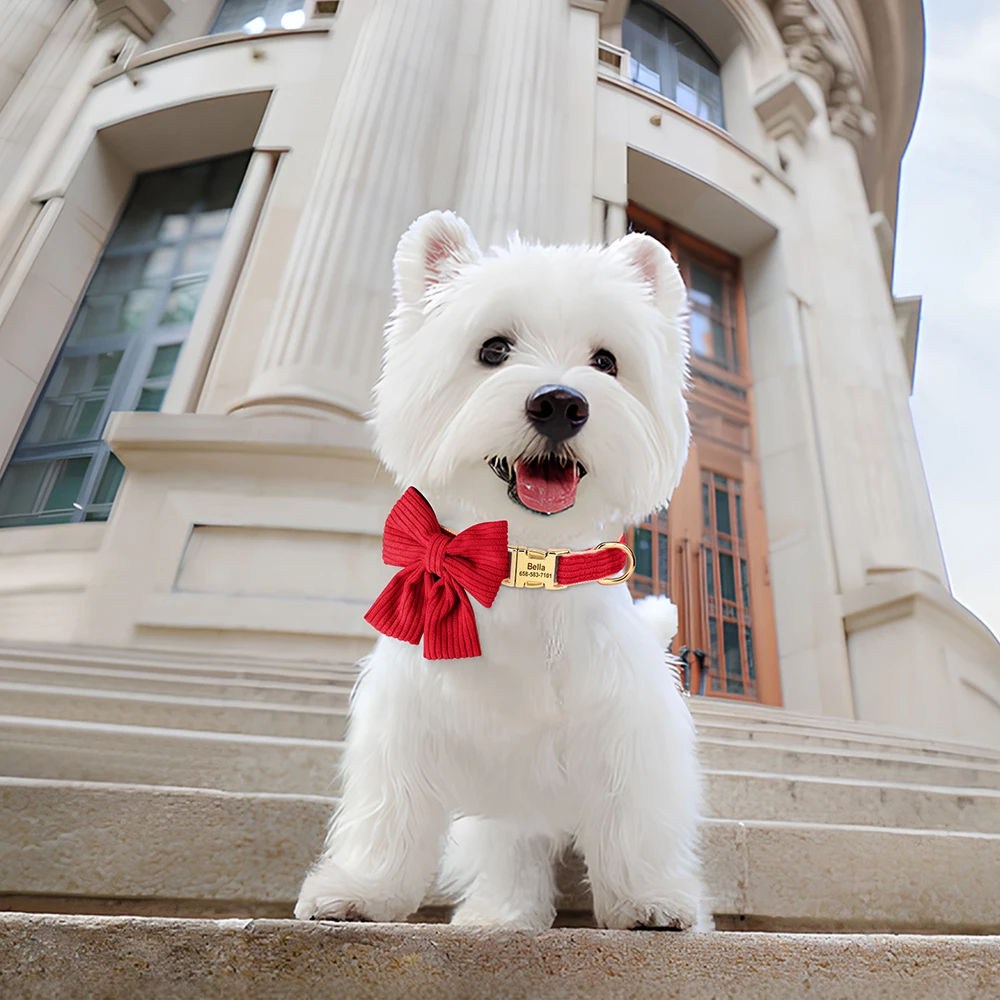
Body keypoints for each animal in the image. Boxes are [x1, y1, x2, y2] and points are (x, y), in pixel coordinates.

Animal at [296, 209, 704, 928]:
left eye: (607, 361)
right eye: (492, 349)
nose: (561, 403)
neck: (519, 565)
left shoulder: (630, 731)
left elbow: (634, 821)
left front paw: (648, 899)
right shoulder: (407, 720)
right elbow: (389, 810)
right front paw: (362, 891)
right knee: (511, 850)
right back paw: (501, 915)